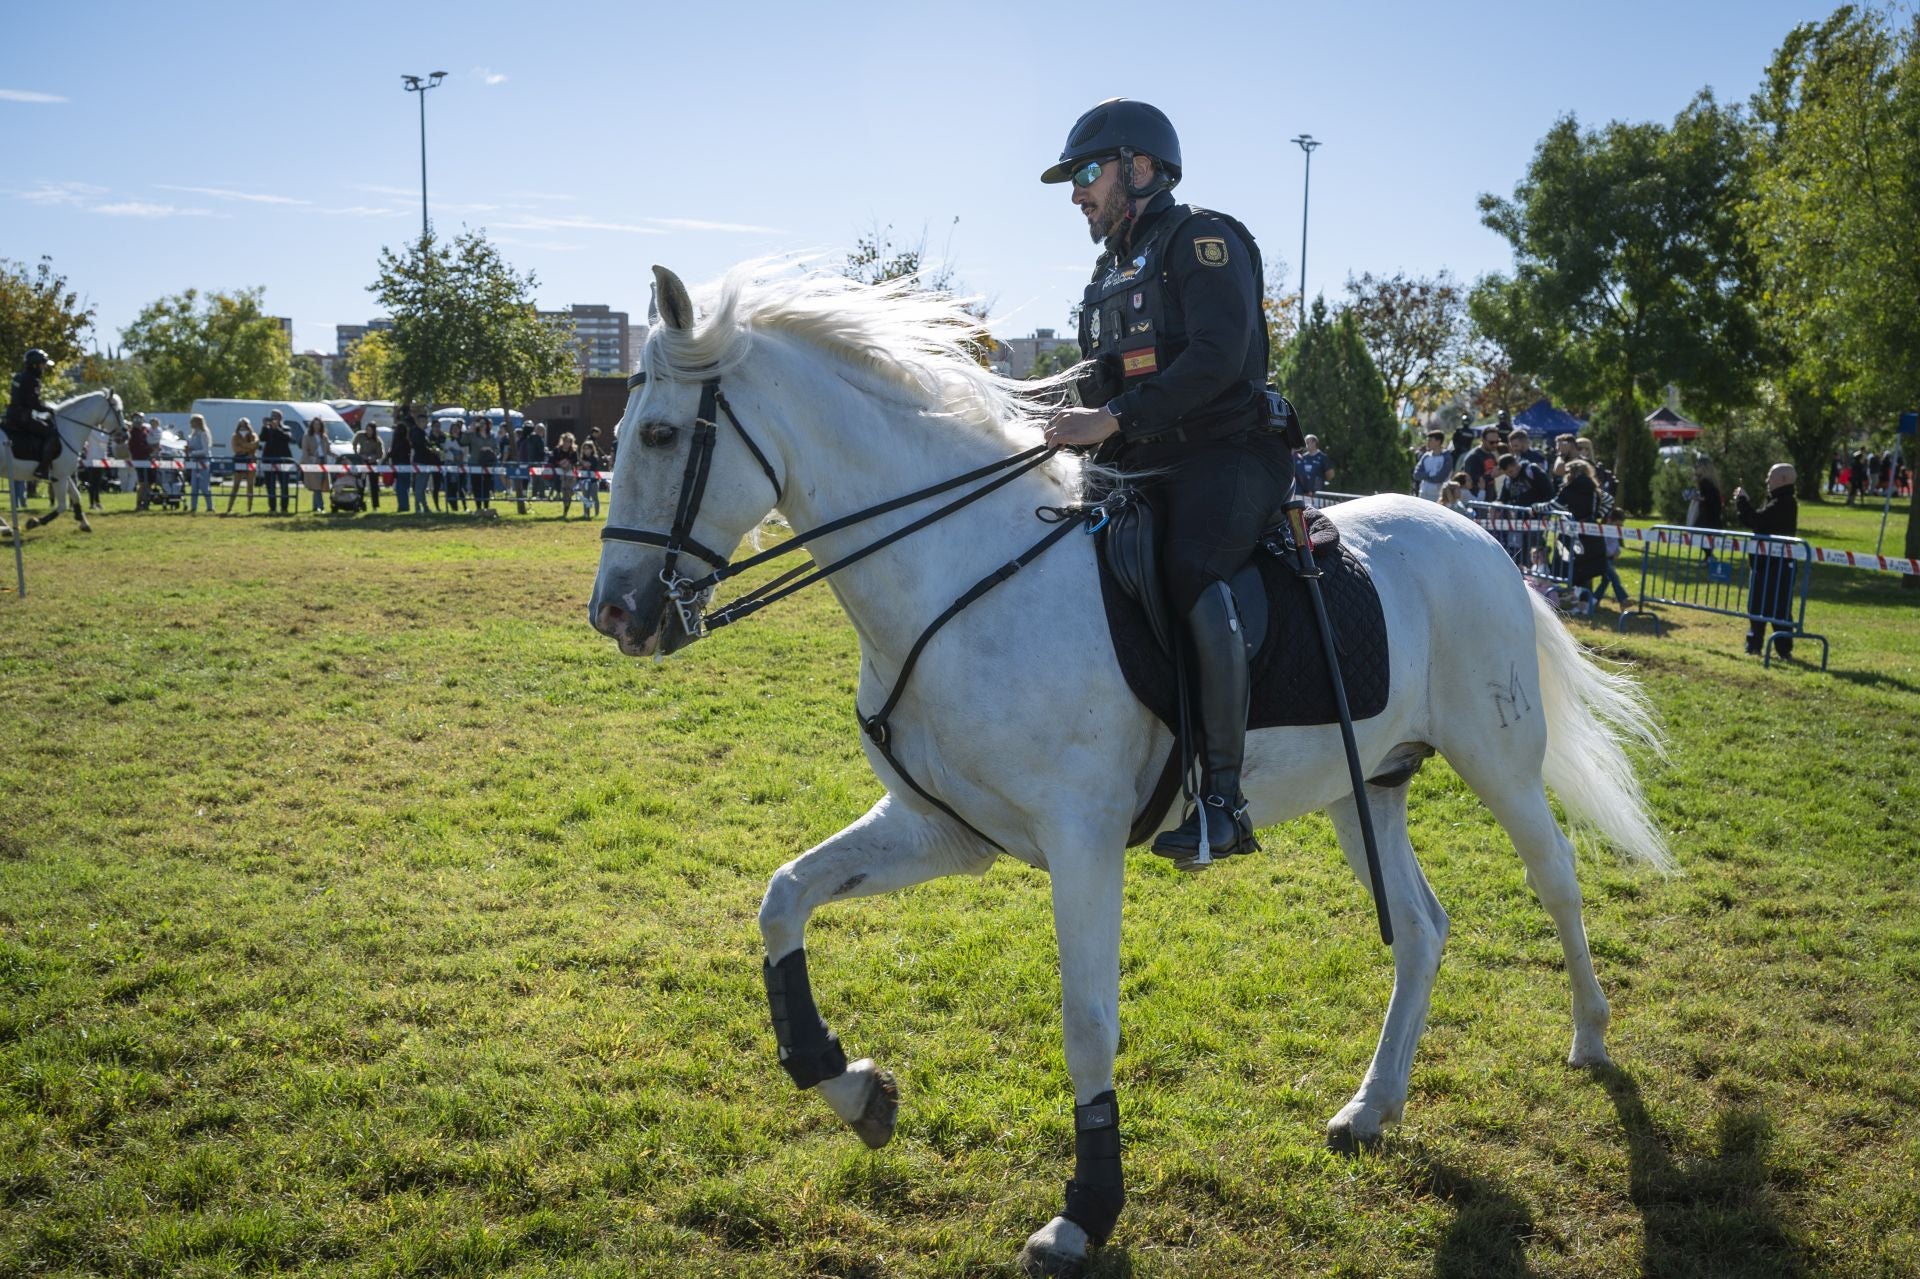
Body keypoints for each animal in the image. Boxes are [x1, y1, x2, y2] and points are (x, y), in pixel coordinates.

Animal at [0, 384, 119, 533]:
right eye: (118, 410)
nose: (125, 433)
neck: (67, 431)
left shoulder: (64, 474)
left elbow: (76, 495)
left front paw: (84, 522)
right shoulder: (59, 477)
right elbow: (62, 506)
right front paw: (34, 522)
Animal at [587, 263, 1666, 1267]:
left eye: (660, 436)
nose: (616, 613)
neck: (957, 575)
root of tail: (1482, 538)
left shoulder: (1083, 842)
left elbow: (1088, 1022)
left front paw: (1085, 1210)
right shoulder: (944, 830)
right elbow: (783, 899)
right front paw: (851, 1086)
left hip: (1499, 764)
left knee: (1556, 879)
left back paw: (1592, 1037)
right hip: (1365, 792)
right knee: (1422, 928)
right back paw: (1372, 1105)